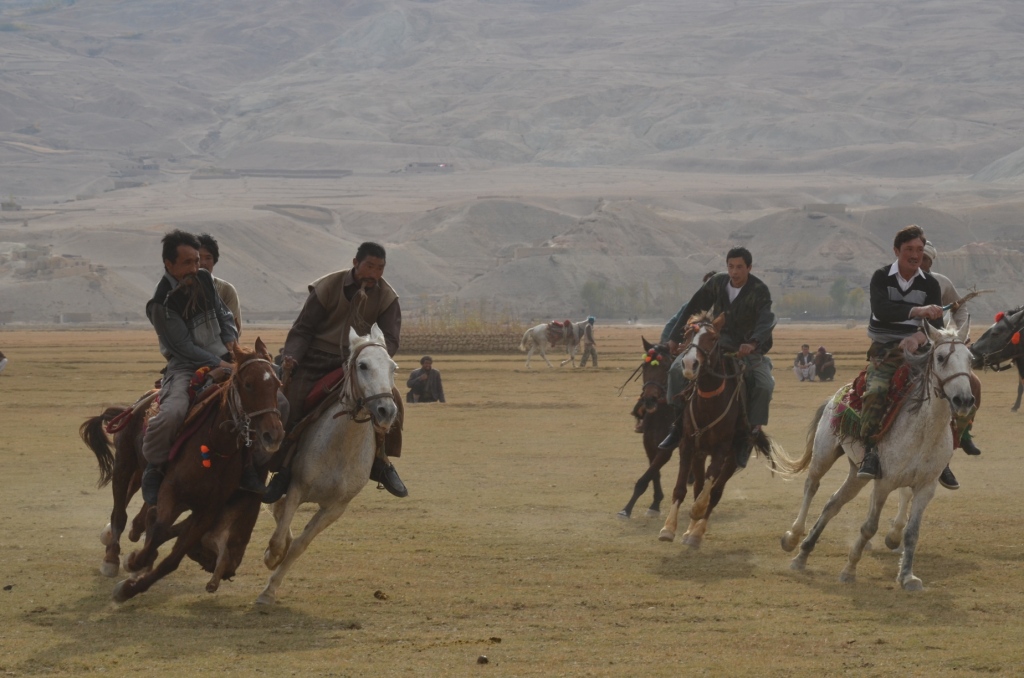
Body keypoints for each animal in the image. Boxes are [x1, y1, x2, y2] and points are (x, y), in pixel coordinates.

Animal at [81, 339, 284, 601]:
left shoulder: (207, 511)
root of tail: (138, 403)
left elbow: (172, 558)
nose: (274, 434)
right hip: (124, 465)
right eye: (249, 384)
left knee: (139, 512)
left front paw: (129, 588)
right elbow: (159, 530)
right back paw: (112, 557)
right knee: (120, 513)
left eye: (277, 384)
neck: (215, 447)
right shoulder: (171, 492)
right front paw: (134, 561)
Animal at [257, 323, 399, 605]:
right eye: (363, 365)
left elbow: (298, 545)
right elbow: (279, 539)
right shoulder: (297, 487)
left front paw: (270, 589)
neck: (341, 448)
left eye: (392, 367)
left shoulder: (335, 508)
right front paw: (270, 559)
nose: (386, 411)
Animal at [617, 338, 673, 519]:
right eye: (644, 366)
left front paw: (626, 509)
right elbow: (654, 472)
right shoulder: (649, 443)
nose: (649, 399)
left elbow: (648, 475)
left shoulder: (667, 447)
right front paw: (655, 504)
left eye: (666, 366)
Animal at [658, 312, 794, 547]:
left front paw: (696, 513)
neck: (708, 402)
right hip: (700, 454)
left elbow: (709, 490)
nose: (689, 364)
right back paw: (689, 531)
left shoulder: (721, 450)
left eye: (713, 338)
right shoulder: (688, 446)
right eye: (687, 334)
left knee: (716, 492)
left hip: (732, 459)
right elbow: (681, 488)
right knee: (698, 486)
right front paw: (668, 528)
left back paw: (696, 533)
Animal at [780, 318, 974, 591]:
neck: (924, 433)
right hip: (824, 454)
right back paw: (793, 538)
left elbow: (912, 533)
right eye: (941, 357)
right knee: (811, 486)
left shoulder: (926, 487)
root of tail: (837, 395)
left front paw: (907, 576)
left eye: (970, 358)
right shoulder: (884, 483)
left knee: (833, 503)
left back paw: (803, 553)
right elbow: (869, 527)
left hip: (857, 473)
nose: (964, 400)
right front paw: (849, 569)